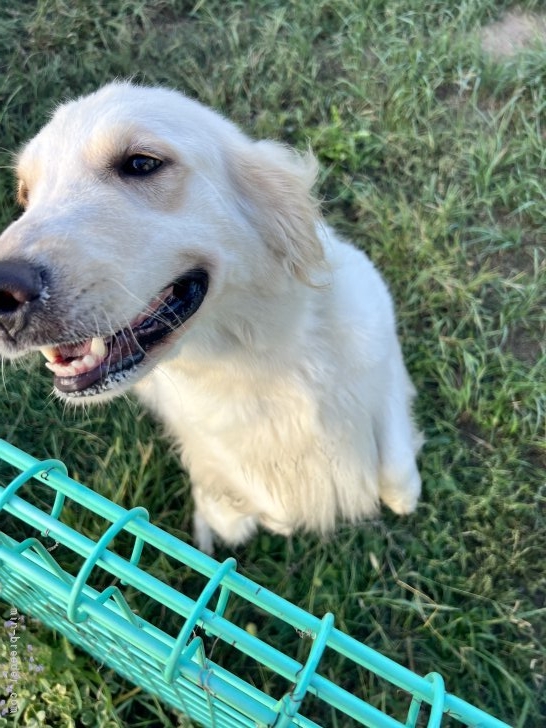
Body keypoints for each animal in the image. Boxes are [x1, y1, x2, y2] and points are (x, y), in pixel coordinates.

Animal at [0, 84, 420, 552]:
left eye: (142, 163)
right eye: (25, 195)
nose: (3, 290)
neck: (259, 351)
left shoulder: (381, 339)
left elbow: (397, 468)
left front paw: (396, 491)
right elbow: (266, 507)